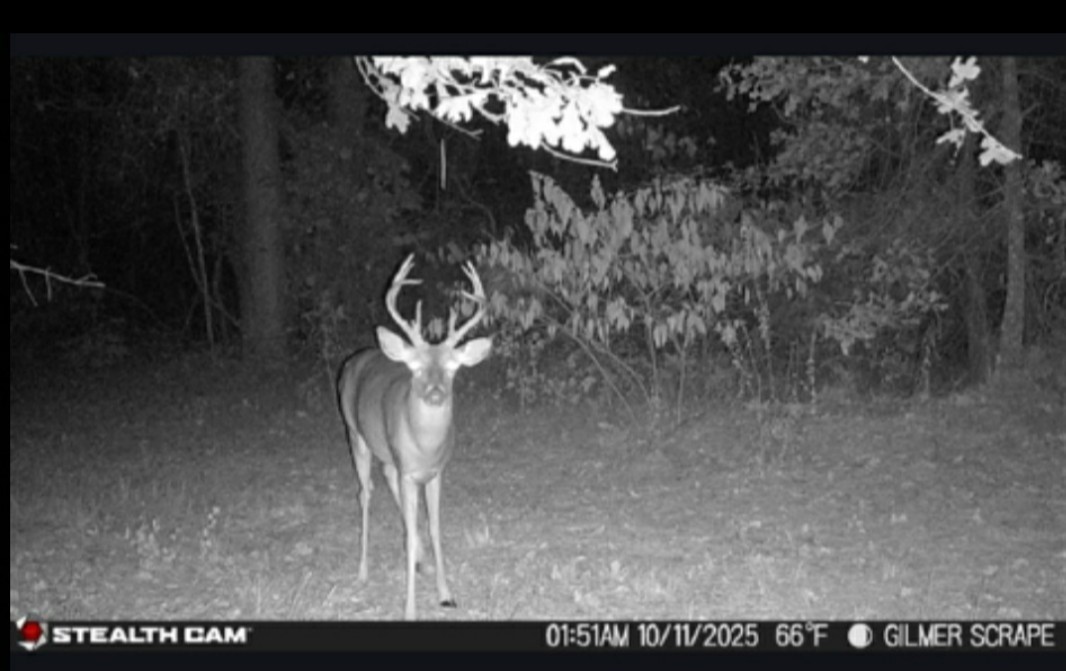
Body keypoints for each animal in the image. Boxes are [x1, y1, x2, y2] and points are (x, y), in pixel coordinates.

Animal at [337, 254, 492, 620]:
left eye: (452, 368)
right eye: (416, 367)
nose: (435, 392)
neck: (425, 447)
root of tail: (355, 359)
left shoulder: (434, 472)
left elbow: (434, 527)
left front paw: (446, 594)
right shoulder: (409, 471)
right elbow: (407, 530)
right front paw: (409, 609)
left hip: (389, 454)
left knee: (388, 479)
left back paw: (421, 560)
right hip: (355, 433)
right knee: (365, 493)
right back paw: (362, 572)